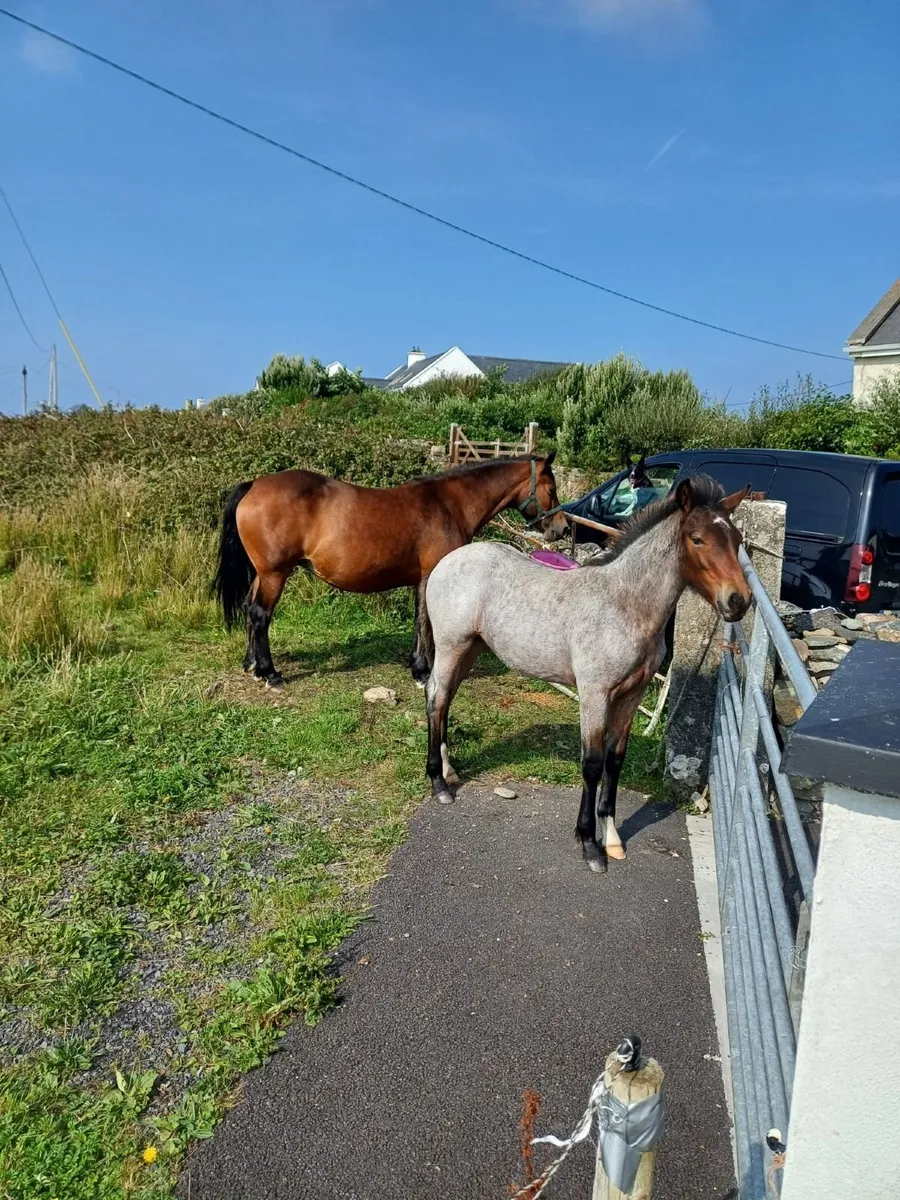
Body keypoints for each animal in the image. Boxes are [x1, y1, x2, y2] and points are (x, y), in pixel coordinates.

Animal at [212, 454, 568, 687]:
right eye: (552, 489)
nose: (562, 529)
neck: (449, 503)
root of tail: (254, 486)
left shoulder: (420, 578)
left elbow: (418, 620)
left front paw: (415, 664)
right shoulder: (431, 575)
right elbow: (424, 621)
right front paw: (423, 671)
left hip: (263, 573)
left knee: (248, 607)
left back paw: (251, 663)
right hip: (275, 573)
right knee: (260, 614)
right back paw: (269, 673)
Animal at [420, 475, 751, 871]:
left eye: (737, 540)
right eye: (697, 538)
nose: (738, 601)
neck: (624, 605)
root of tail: (446, 562)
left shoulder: (631, 695)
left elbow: (614, 760)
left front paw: (612, 839)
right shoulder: (594, 694)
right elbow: (592, 764)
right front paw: (590, 845)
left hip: (469, 650)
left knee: (443, 698)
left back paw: (449, 771)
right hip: (451, 647)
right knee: (436, 699)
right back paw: (439, 784)